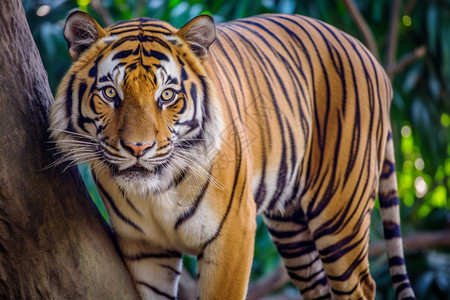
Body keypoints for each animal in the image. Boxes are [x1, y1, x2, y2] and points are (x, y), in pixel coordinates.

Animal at [48, 9, 414, 300]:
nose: (138, 148)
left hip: (340, 215)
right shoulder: (144, 249)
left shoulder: (233, 235)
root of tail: (371, 58)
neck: (156, 193)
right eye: (111, 93)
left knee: (360, 286)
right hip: (292, 229)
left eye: (166, 95)